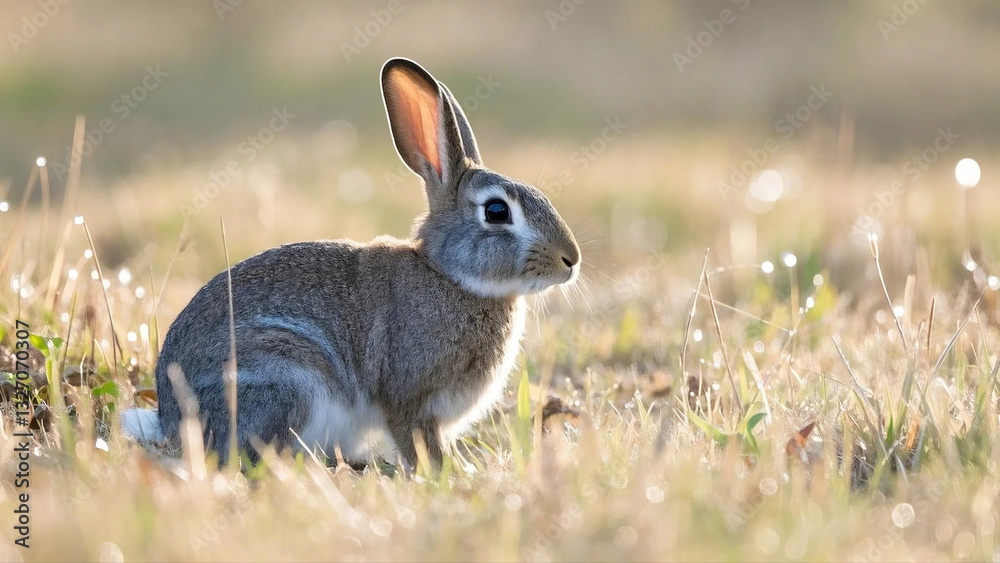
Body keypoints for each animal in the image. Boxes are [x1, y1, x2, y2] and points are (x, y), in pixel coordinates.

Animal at [129, 57, 581, 468]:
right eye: (497, 211)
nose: (571, 260)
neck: (450, 276)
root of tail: (173, 420)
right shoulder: (407, 398)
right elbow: (416, 439)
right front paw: (447, 473)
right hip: (285, 376)